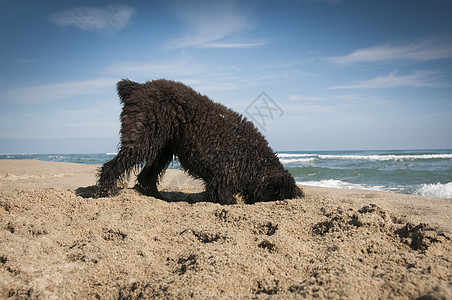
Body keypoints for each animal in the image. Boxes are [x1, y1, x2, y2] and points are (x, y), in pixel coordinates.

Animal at [97, 78, 306, 204]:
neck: (253, 160)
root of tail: (138, 87)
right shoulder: (222, 180)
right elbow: (225, 199)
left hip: (163, 148)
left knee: (146, 176)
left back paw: (160, 197)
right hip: (142, 139)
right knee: (112, 166)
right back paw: (104, 191)